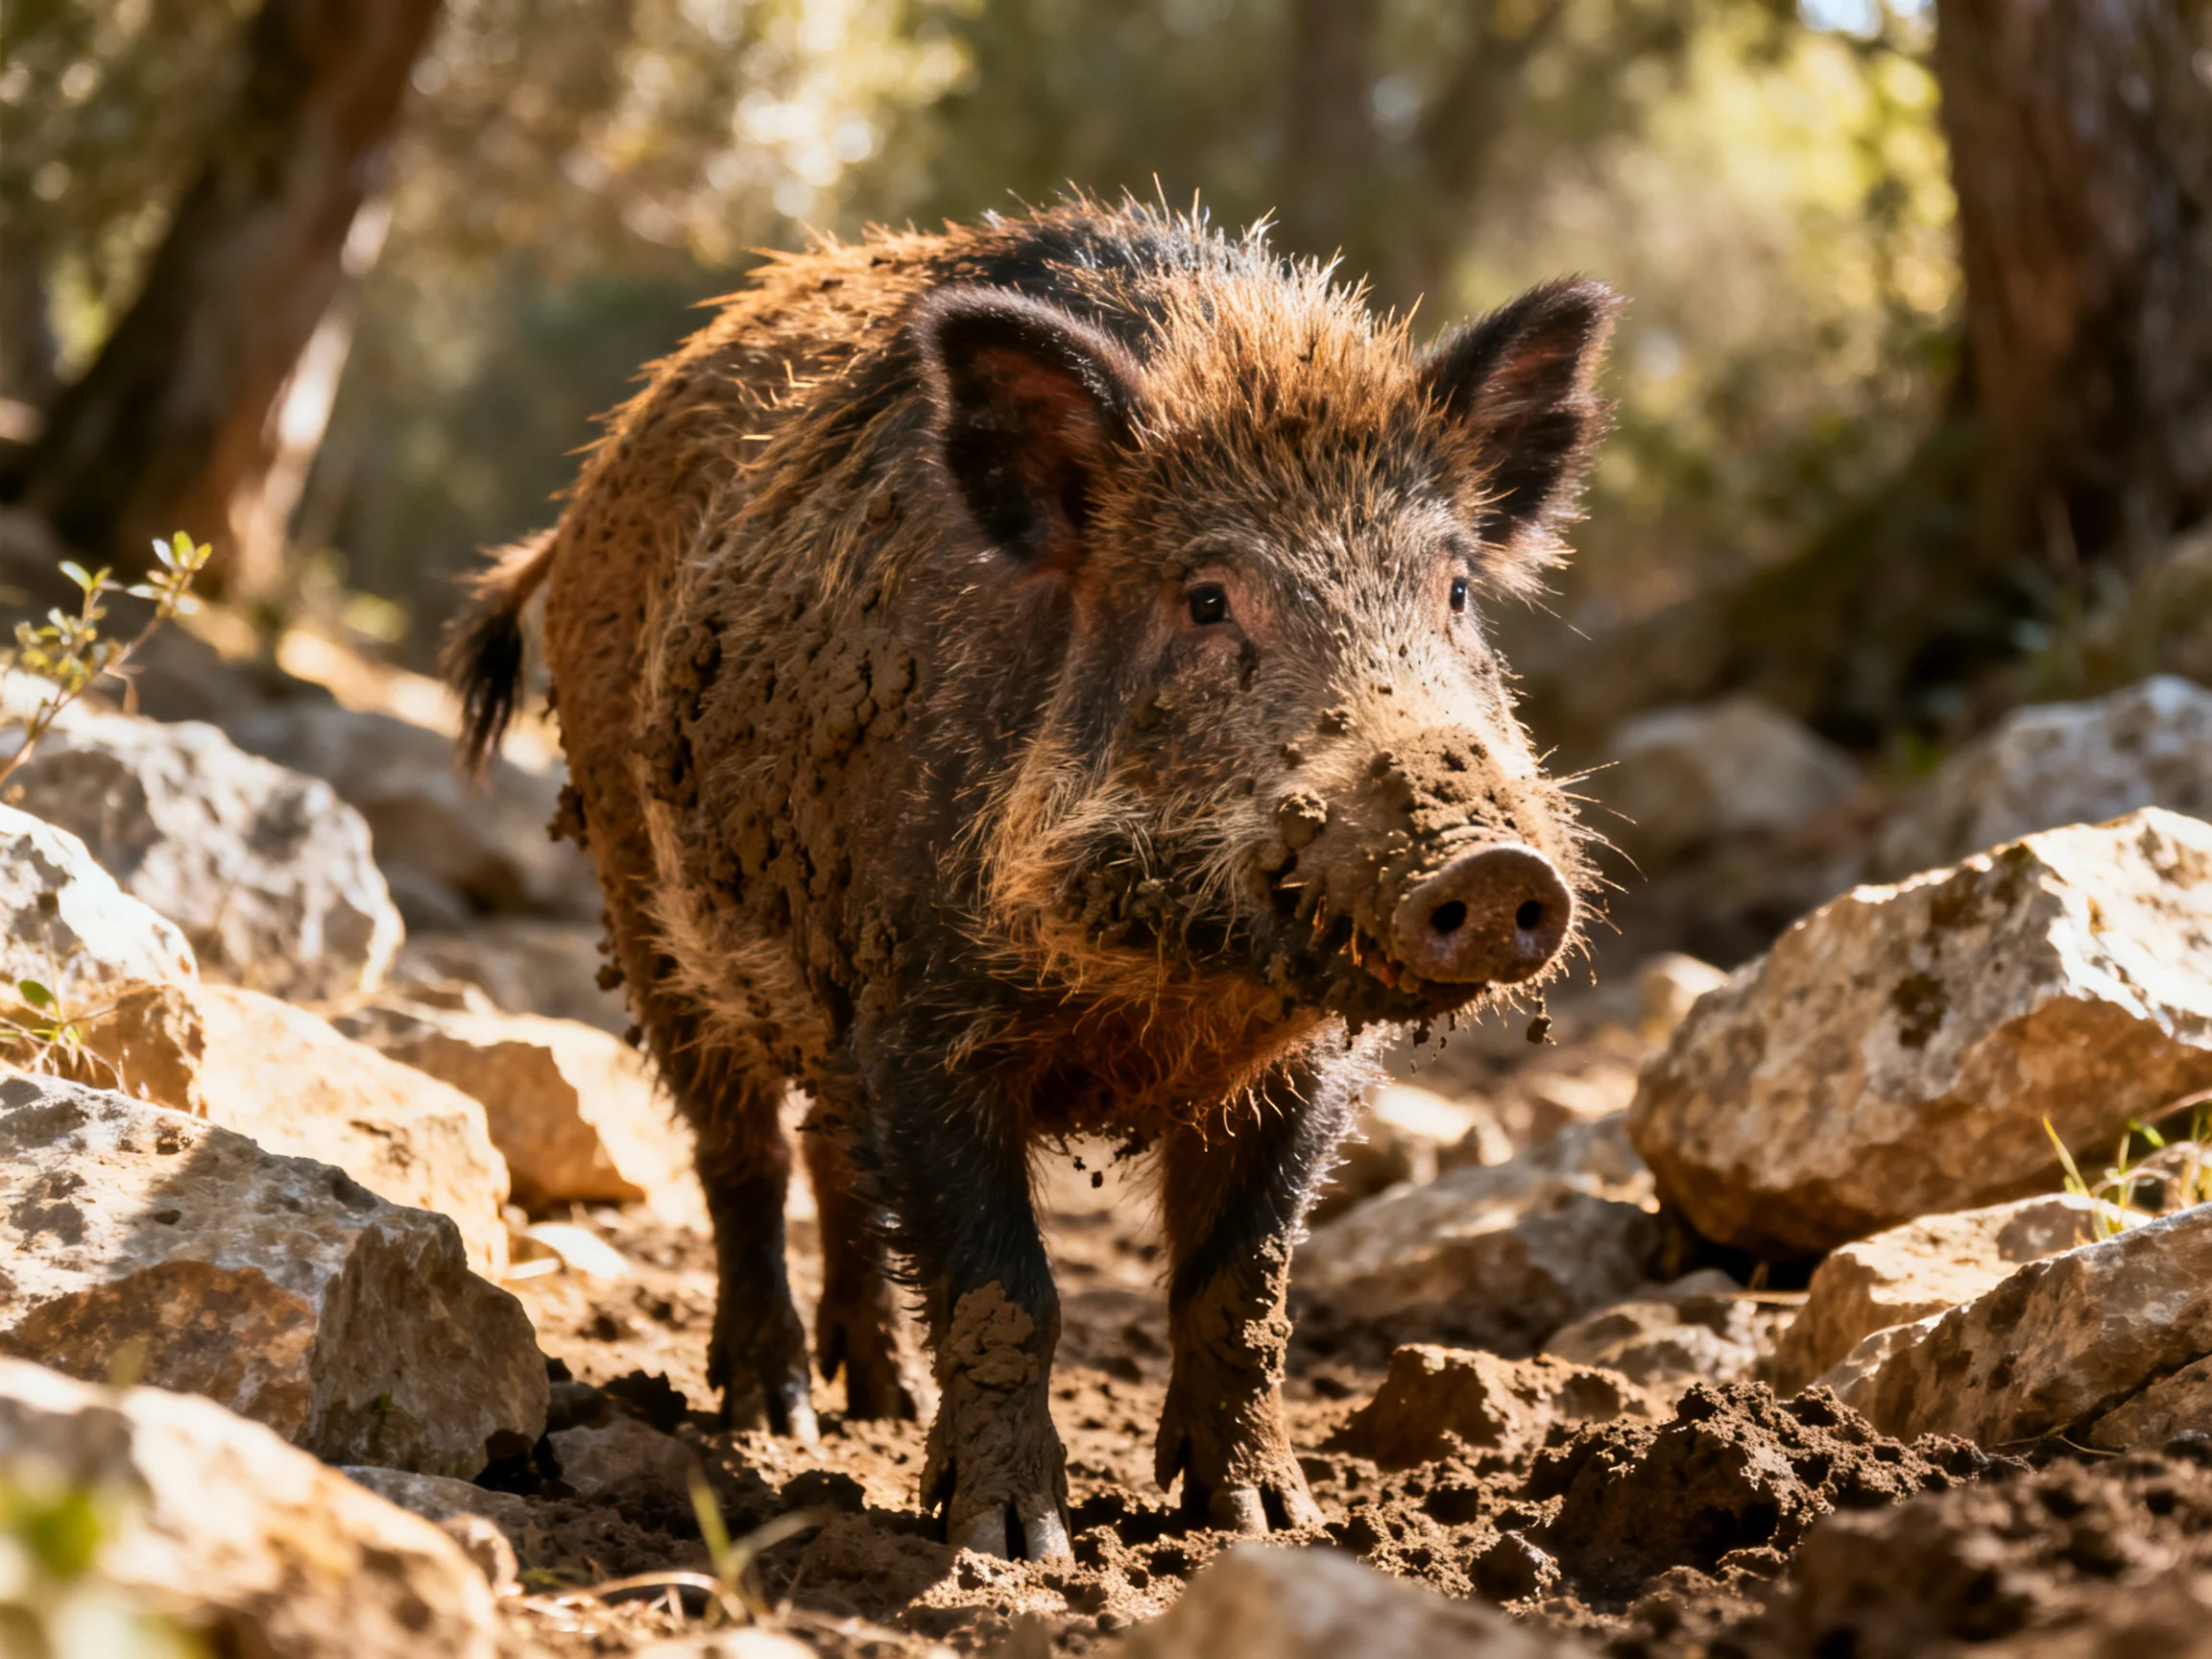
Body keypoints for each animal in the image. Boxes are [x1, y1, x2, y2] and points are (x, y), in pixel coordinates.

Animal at [445, 199, 1614, 1560]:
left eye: (1457, 590)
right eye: (1206, 599)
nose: (1494, 863)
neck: (1175, 986)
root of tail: (583, 500)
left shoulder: (1308, 1065)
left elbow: (1242, 1289)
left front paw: (1269, 1525)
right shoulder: (922, 1016)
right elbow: (1008, 1285)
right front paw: (1012, 1545)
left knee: (839, 1159)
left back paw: (880, 1397)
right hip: (649, 917)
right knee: (741, 1156)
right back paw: (775, 1413)